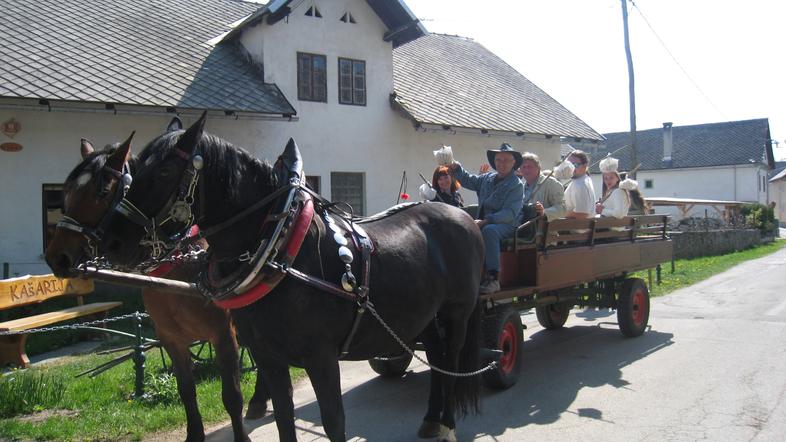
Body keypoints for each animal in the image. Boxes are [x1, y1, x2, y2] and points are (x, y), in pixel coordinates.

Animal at [43, 134, 270, 442]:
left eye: (101, 192)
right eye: (66, 190)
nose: (57, 257)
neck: (178, 268)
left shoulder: (223, 334)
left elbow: (232, 395)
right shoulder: (171, 339)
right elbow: (186, 391)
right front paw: (194, 434)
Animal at [99, 115, 484, 442]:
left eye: (165, 171)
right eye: (132, 169)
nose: (111, 241)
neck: (282, 250)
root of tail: (463, 215)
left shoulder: (321, 358)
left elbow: (334, 423)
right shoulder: (268, 356)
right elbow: (284, 418)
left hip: (457, 314)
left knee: (450, 362)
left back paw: (447, 424)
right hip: (425, 317)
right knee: (436, 358)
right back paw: (431, 420)